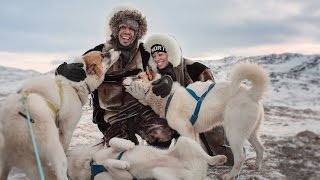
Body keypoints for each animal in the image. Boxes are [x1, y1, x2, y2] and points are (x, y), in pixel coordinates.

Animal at [68, 136, 228, 180]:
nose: (103, 139)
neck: (90, 163)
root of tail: (197, 173)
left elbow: (114, 141)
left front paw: (128, 145)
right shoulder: (125, 178)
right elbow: (116, 166)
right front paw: (124, 164)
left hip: (184, 140)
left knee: (209, 158)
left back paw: (219, 158)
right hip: (160, 174)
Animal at [123, 62, 270, 180]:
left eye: (138, 77)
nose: (123, 78)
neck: (167, 97)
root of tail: (251, 93)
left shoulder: (186, 131)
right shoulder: (194, 133)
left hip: (234, 134)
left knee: (240, 157)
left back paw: (230, 175)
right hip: (250, 133)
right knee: (260, 148)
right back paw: (255, 166)